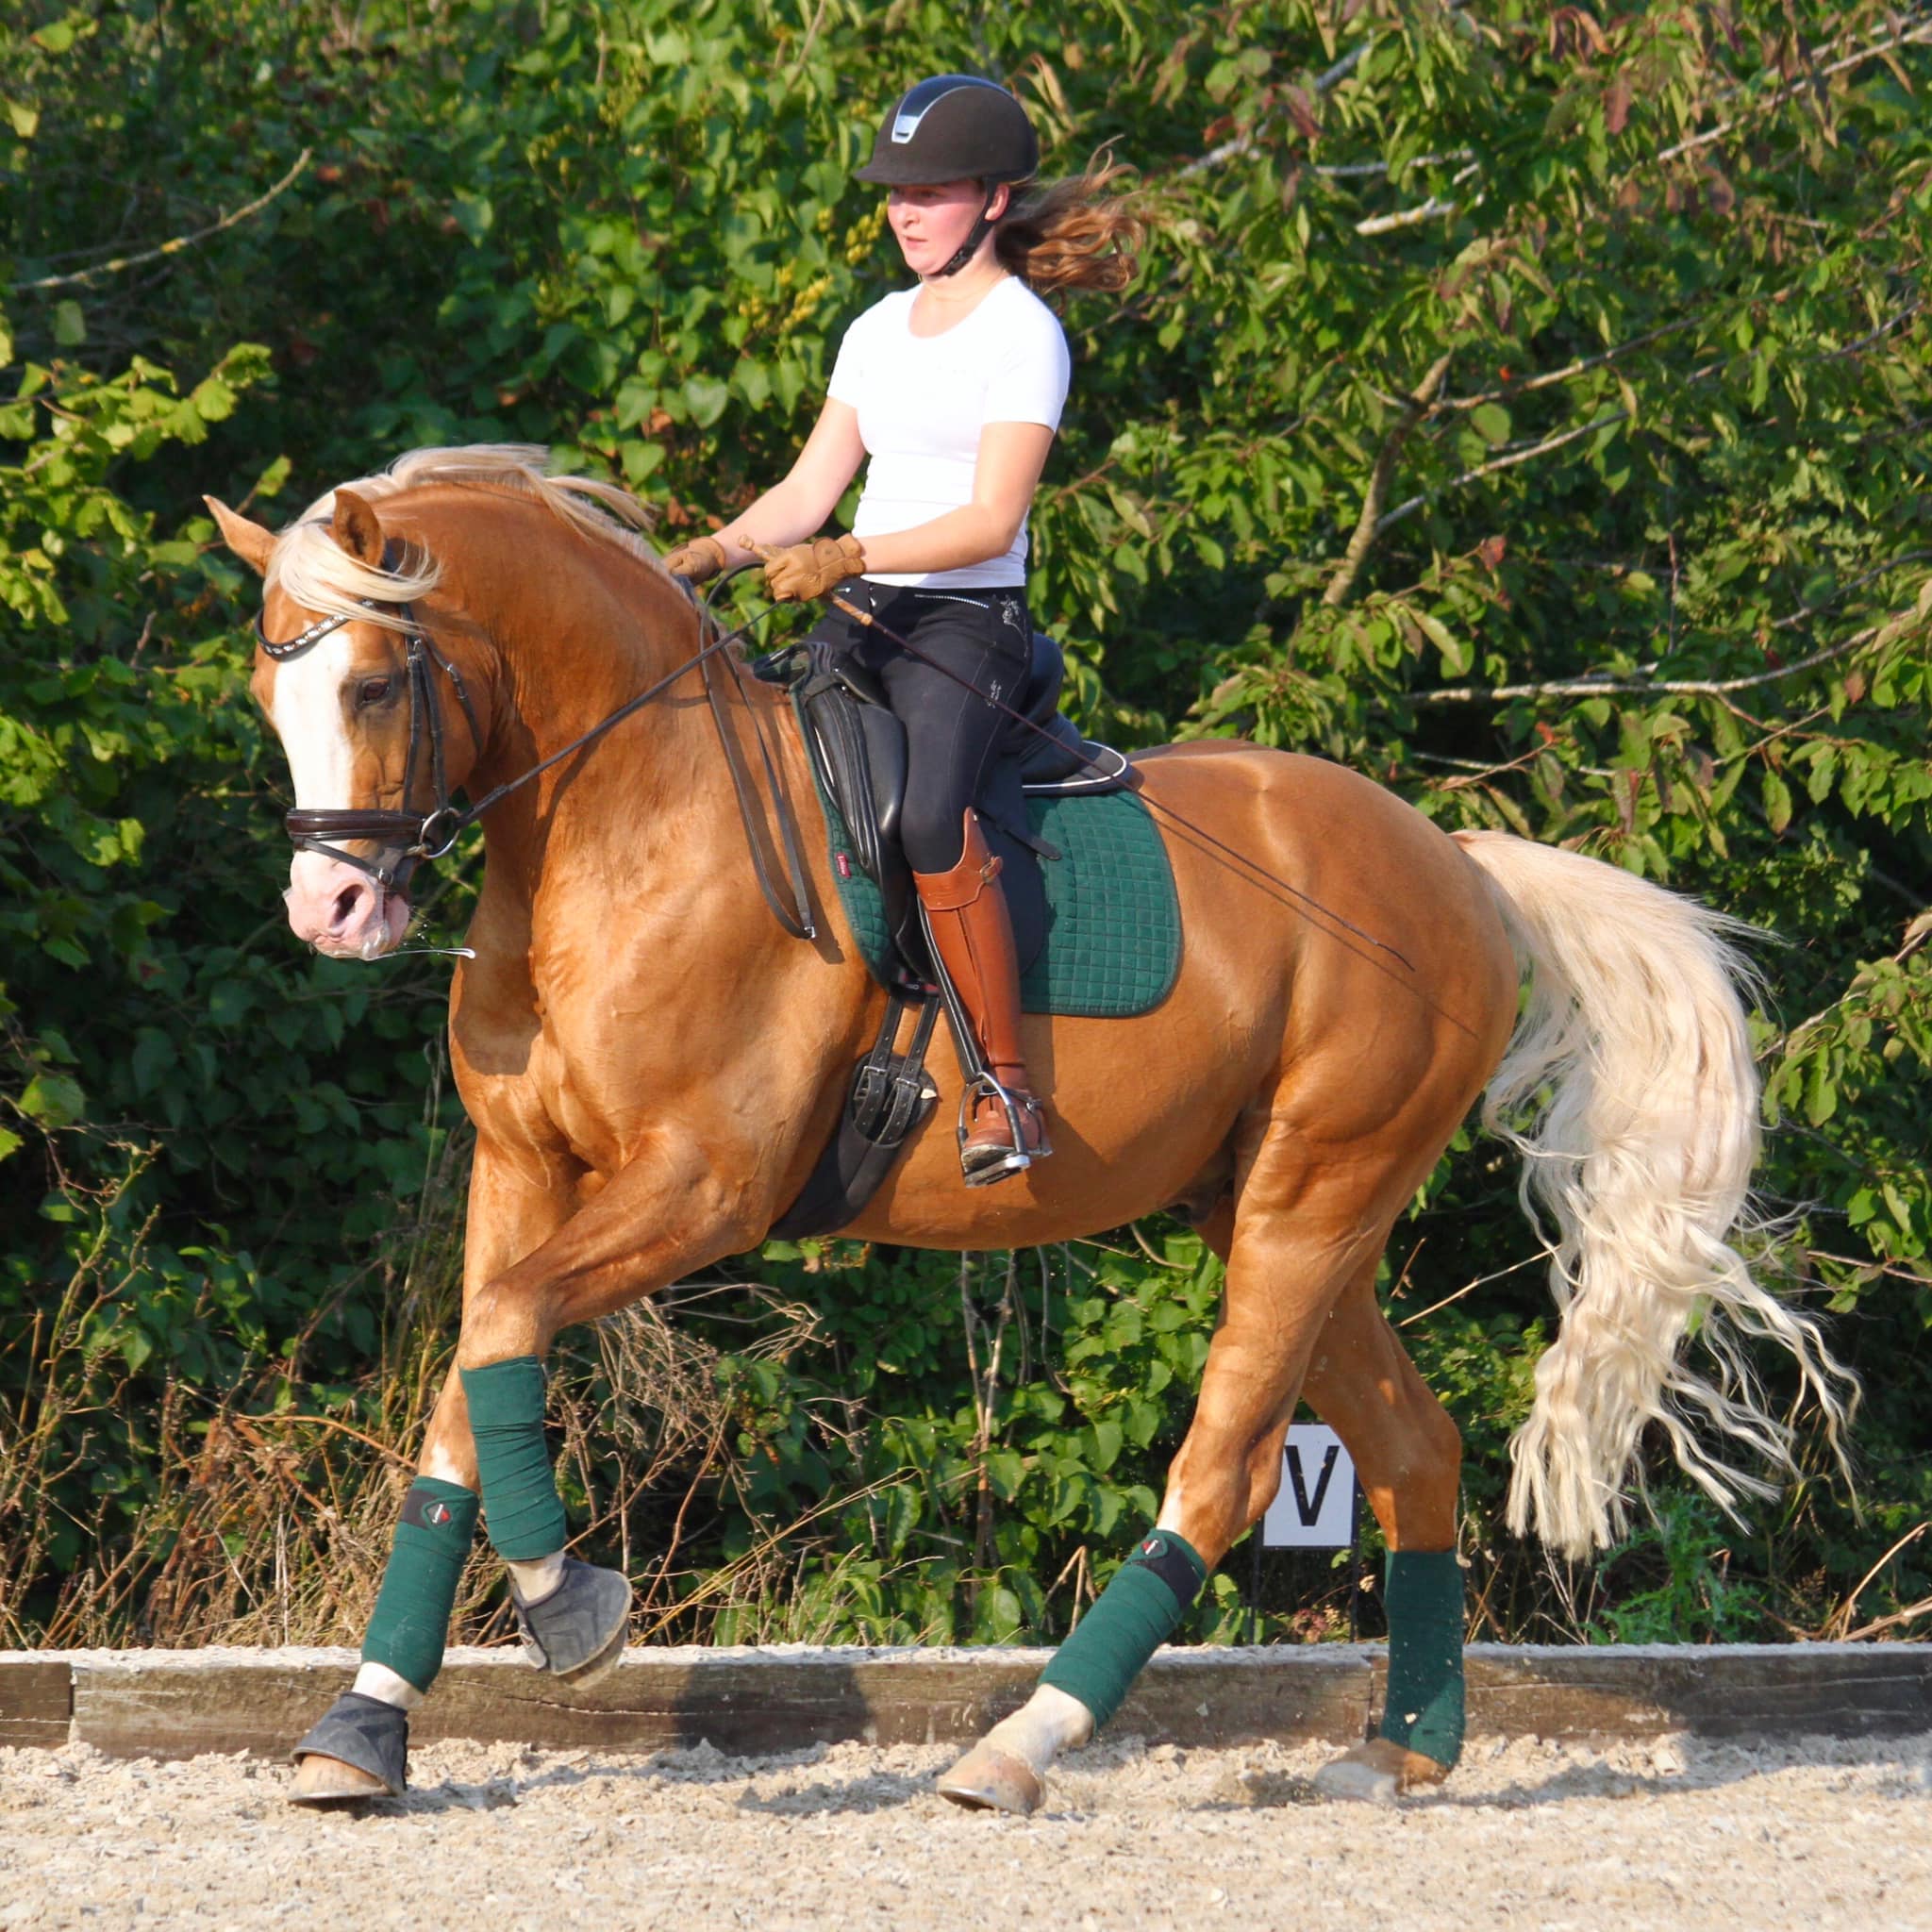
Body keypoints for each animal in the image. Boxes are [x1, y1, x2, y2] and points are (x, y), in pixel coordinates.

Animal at [208, 448, 1839, 1807]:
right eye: (268, 701)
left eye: (373, 686)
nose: (328, 906)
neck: (625, 826)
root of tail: (1461, 868)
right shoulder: (526, 1171)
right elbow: (470, 1379)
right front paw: (364, 1729)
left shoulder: (704, 1187)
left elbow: (506, 1337)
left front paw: (570, 1608)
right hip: (1278, 1204)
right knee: (1414, 1450)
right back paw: (1402, 1753)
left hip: (1314, 1195)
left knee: (1231, 1468)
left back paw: (1019, 1747)